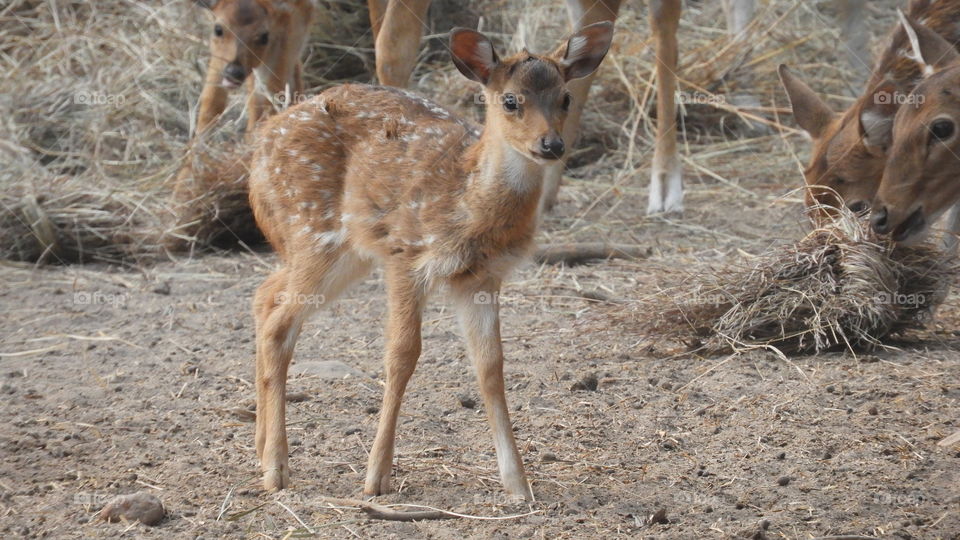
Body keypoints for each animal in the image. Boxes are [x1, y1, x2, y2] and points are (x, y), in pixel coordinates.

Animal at [191, 0, 316, 134]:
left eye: (264, 37)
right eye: (218, 29)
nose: (235, 72)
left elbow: (268, 97)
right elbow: (212, 95)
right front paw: (199, 137)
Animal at [249, 24, 616, 498]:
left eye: (566, 97)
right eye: (510, 100)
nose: (551, 144)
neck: (469, 203)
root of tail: (258, 150)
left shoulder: (481, 278)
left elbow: (491, 365)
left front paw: (517, 483)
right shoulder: (406, 256)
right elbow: (402, 354)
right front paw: (376, 477)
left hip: (339, 253)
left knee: (265, 296)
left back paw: (261, 449)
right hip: (312, 231)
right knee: (279, 325)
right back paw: (277, 468)